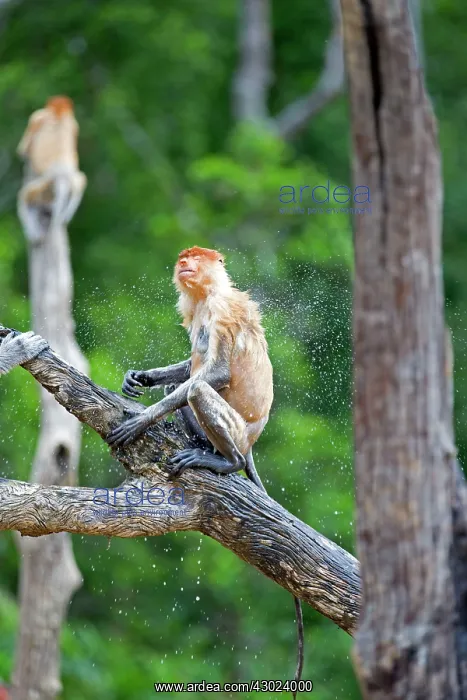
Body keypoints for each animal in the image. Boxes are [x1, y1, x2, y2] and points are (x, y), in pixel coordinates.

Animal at [17, 96, 87, 242]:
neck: (60, 115)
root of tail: (62, 176)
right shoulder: (74, 125)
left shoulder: (37, 116)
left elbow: (23, 151)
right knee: (82, 180)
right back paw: (65, 216)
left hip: (45, 185)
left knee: (24, 196)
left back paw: (35, 234)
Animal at [107, 246, 304, 695]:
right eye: (184, 257)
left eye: (195, 258)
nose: (184, 265)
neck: (208, 292)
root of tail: (250, 445)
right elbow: (188, 368)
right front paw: (140, 378)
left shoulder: (220, 310)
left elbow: (215, 373)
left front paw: (141, 419)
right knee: (187, 384)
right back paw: (200, 446)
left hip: (238, 431)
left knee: (198, 389)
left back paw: (224, 461)